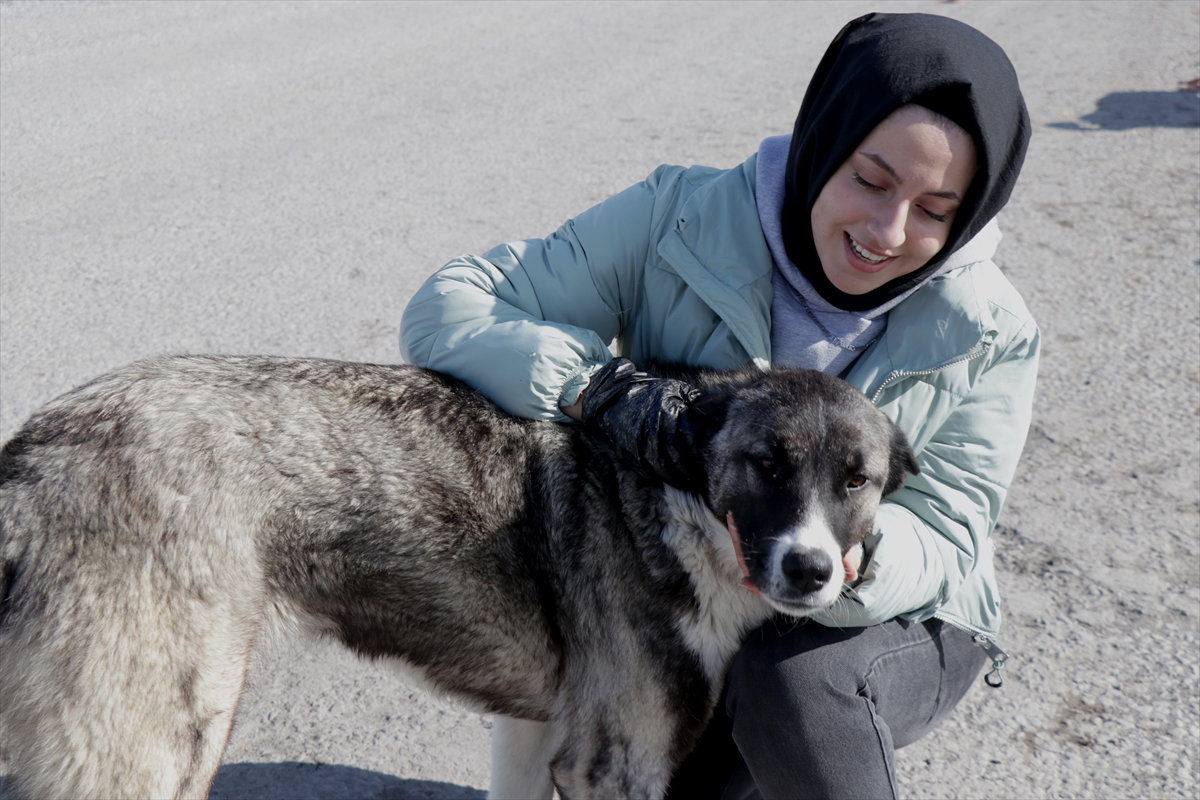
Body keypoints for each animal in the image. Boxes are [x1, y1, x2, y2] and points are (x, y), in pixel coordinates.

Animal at [2, 357, 916, 800]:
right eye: (767, 464)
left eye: (857, 481)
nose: (811, 568)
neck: (670, 494)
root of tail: (30, 460)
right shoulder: (615, 770)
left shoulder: (540, 736)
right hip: (160, 749)